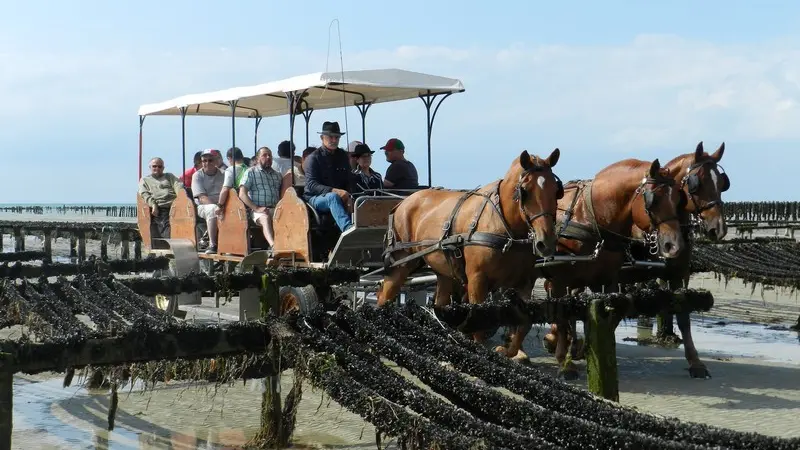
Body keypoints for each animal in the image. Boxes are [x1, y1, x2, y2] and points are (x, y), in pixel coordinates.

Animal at [380, 149, 564, 354]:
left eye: (556, 191)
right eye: (525, 191)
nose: (546, 242)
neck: (504, 226)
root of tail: (403, 203)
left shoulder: (524, 282)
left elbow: (523, 324)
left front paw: (508, 352)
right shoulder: (477, 279)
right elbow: (480, 327)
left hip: (443, 271)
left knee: (439, 304)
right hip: (402, 262)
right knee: (385, 295)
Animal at [524, 156, 688, 378]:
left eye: (679, 200)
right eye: (653, 200)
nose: (675, 246)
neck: (591, 218)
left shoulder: (606, 281)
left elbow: (608, 316)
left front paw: (593, 354)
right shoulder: (559, 280)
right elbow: (562, 314)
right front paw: (564, 362)